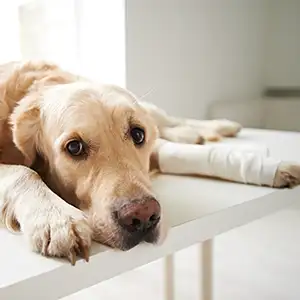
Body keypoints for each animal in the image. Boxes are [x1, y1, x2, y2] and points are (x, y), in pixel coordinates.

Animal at [0, 61, 300, 264]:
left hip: (152, 110)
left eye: (137, 134)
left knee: (169, 120)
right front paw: (55, 218)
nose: (143, 217)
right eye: (74, 147)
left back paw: (218, 126)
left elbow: (187, 154)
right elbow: (22, 171)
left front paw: (273, 167)